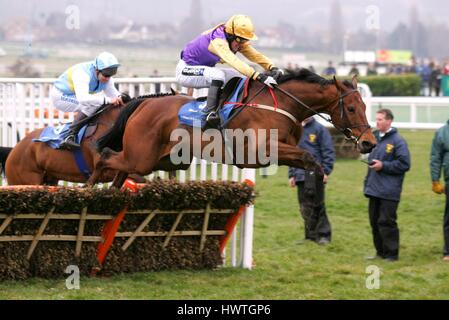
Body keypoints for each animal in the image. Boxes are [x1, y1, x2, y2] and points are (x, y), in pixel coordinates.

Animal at [86, 68, 376, 188]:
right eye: (351, 109)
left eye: (364, 105)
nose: (369, 142)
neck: (281, 104)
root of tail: (142, 103)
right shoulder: (260, 151)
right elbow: (307, 156)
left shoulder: (282, 151)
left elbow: (307, 158)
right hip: (142, 157)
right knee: (105, 157)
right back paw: (89, 189)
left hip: (159, 159)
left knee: (119, 173)